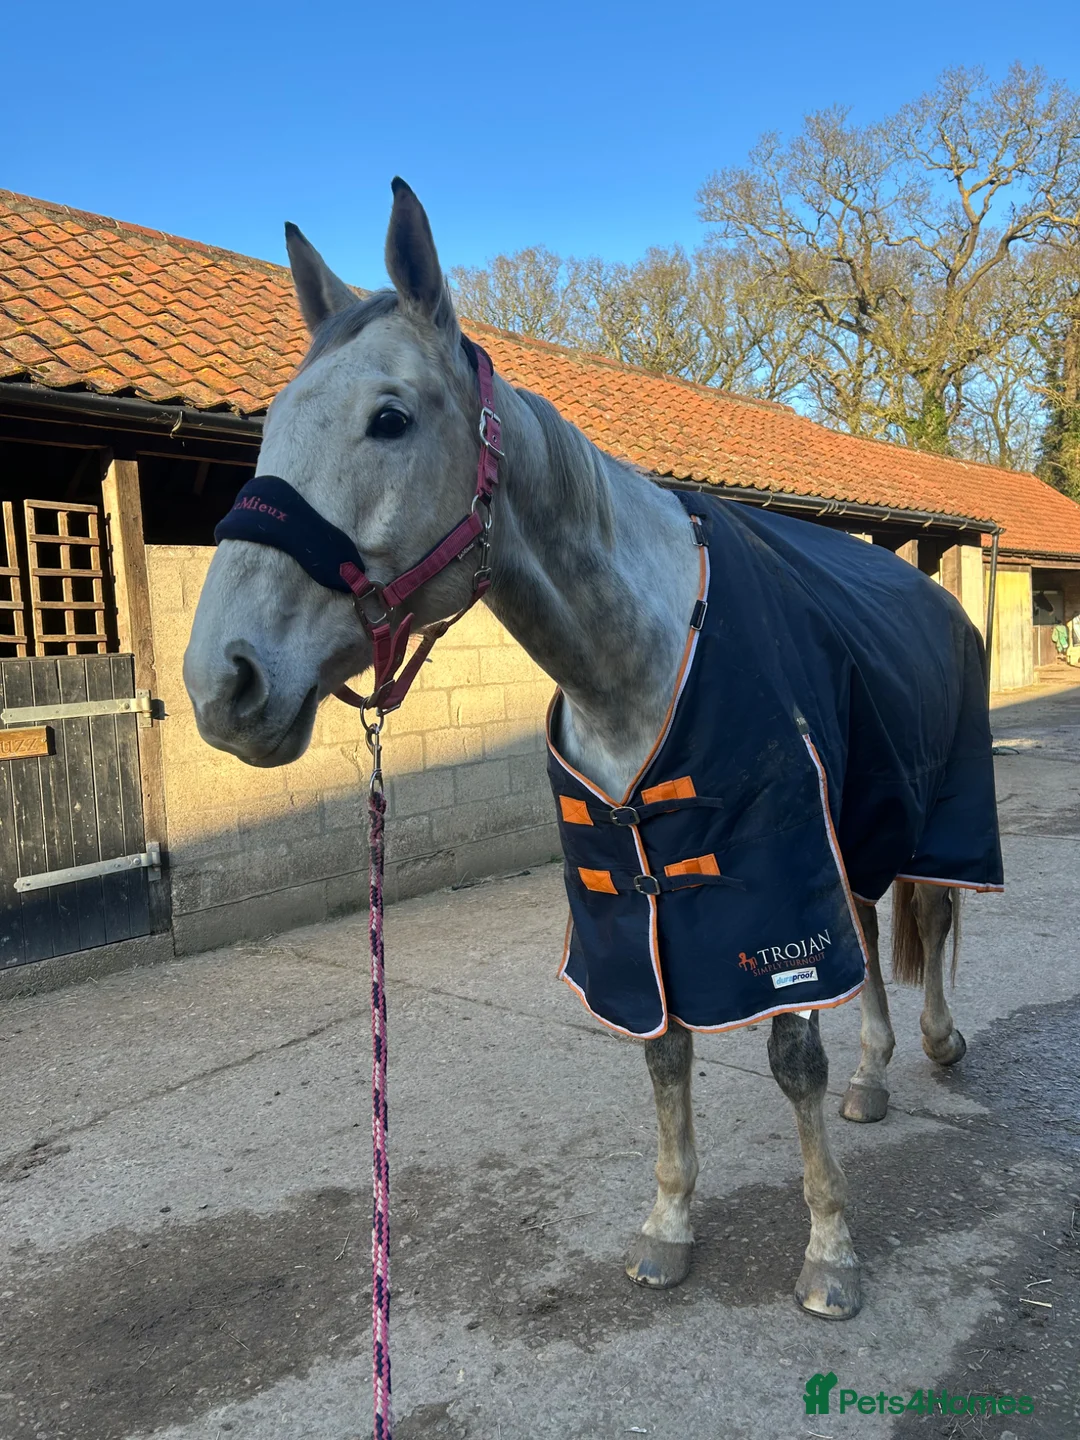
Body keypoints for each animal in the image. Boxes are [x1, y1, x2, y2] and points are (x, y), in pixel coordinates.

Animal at [184, 179, 1001, 1320]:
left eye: (389, 418)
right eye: (269, 427)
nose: (222, 681)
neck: (636, 659)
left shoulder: (773, 882)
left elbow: (793, 1051)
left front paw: (830, 1250)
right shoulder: (628, 897)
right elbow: (662, 1049)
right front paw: (669, 1225)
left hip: (921, 810)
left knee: (927, 911)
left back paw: (933, 1043)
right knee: (875, 933)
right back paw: (878, 1075)